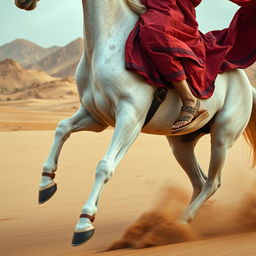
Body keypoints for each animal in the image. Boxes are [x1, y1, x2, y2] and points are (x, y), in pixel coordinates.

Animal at [15, 0, 256, 246]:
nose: (23, 3)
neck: (107, 44)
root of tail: (248, 87)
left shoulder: (130, 119)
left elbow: (104, 166)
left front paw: (84, 223)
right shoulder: (96, 116)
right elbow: (62, 128)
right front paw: (46, 184)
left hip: (222, 139)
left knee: (212, 182)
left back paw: (177, 224)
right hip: (180, 144)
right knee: (199, 181)